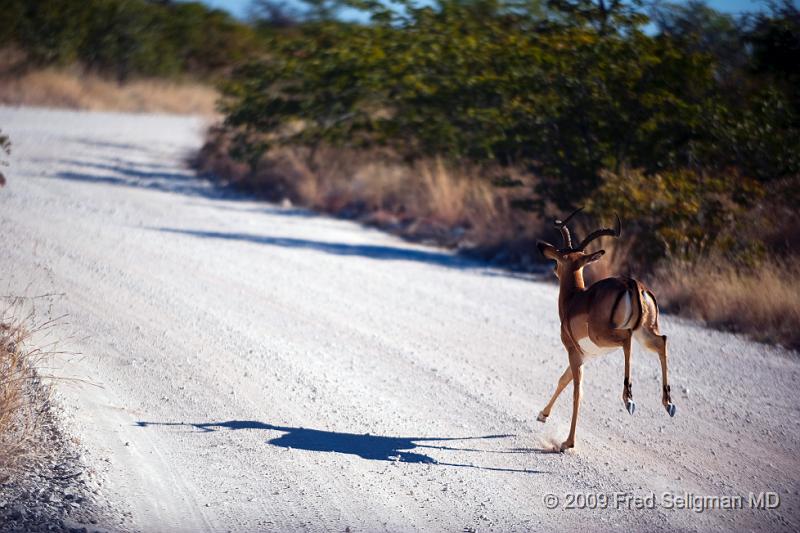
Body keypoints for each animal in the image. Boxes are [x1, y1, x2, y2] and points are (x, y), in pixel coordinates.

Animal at [536, 208, 676, 448]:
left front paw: (568, 442)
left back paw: (629, 399)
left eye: (561, 255)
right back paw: (668, 403)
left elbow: (577, 392)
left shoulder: (574, 352)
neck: (573, 300)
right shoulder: (586, 355)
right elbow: (563, 379)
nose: (543, 248)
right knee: (662, 341)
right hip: (645, 332)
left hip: (606, 335)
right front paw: (542, 415)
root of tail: (633, 284)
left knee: (628, 340)